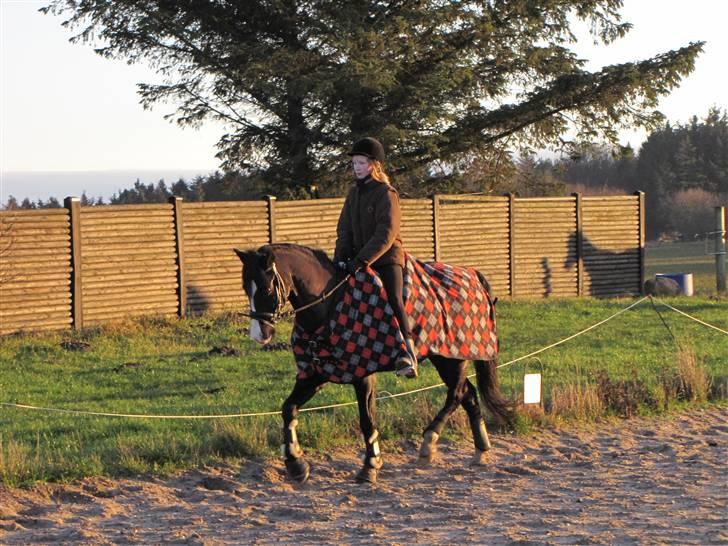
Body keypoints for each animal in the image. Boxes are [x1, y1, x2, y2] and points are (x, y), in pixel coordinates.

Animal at [234, 243, 513, 483]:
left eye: (266, 289)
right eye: (246, 289)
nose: (260, 335)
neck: (330, 305)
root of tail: (472, 274)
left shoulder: (363, 374)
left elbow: (366, 419)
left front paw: (370, 466)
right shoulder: (315, 374)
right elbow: (288, 408)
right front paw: (296, 464)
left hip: (450, 358)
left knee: (456, 394)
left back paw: (429, 442)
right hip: (445, 359)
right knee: (469, 394)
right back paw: (481, 451)